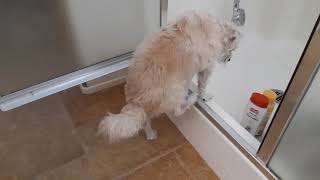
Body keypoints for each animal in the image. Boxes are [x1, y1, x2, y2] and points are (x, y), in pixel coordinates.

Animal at [97, 10, 240, 143]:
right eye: (232, 50)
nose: (230, 59)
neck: (217, 28)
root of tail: (136, 101)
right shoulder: (207, 67)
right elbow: (203, 85)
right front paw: (204, 96)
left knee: (146, 119)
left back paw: (150, 134)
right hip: (179, 88)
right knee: (177, 110)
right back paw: (192, 98)